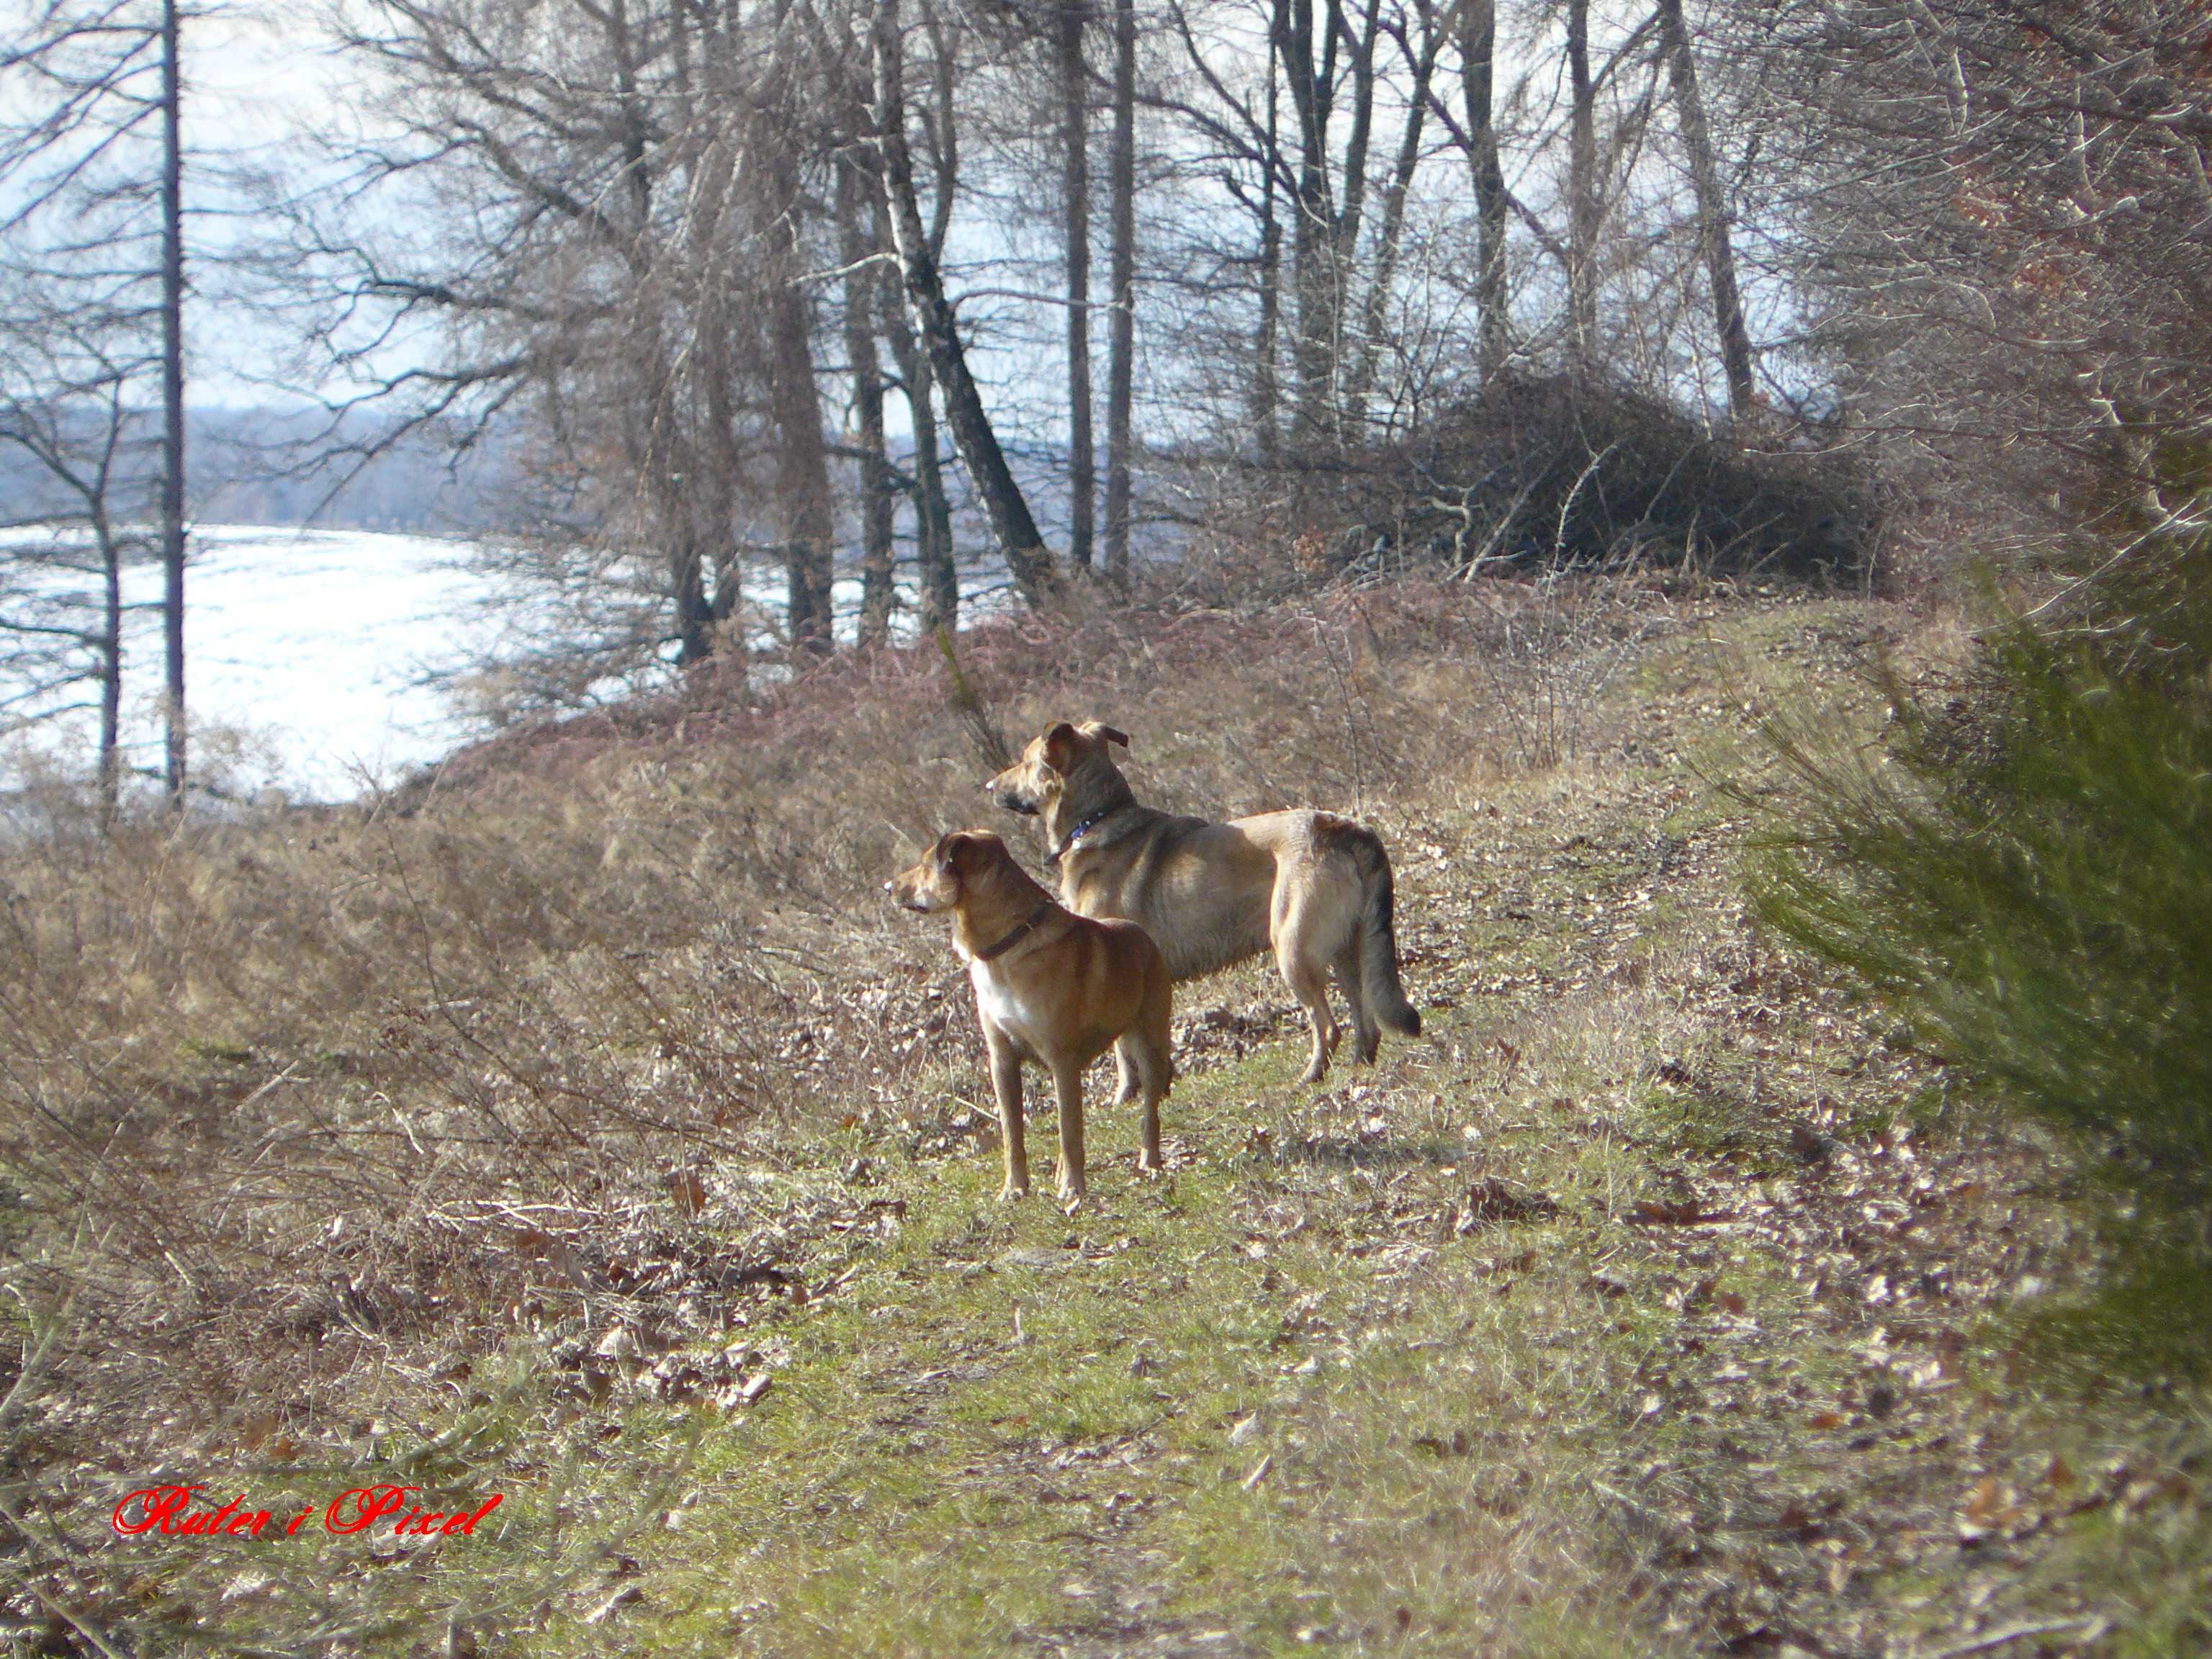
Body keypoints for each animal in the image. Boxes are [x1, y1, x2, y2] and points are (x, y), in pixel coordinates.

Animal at [888, 829, 1173, 1204]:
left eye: (924, 865)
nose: (889, 887)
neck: (1005, 950)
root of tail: (1143, 936)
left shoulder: (1061, 1060)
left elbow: (1069, 1132)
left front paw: (1073, 1189)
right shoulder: (1002, 1060)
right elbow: (1013, 1134)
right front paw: (1015, 1188)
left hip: (1148, 1043)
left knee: (1149, 1112)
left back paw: (1150, 1162)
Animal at [986, 721, 1418, 1083]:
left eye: (1025, 761)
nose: (990, 786)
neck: (1096, 820)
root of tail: (1340, 826)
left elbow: (1124, 1055)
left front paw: (1125, 1097)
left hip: (1294, 950)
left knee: (1328, 1026)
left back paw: (1312, 1077)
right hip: (1344, 945)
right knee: (1365, 1018)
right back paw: (1358, 1067)